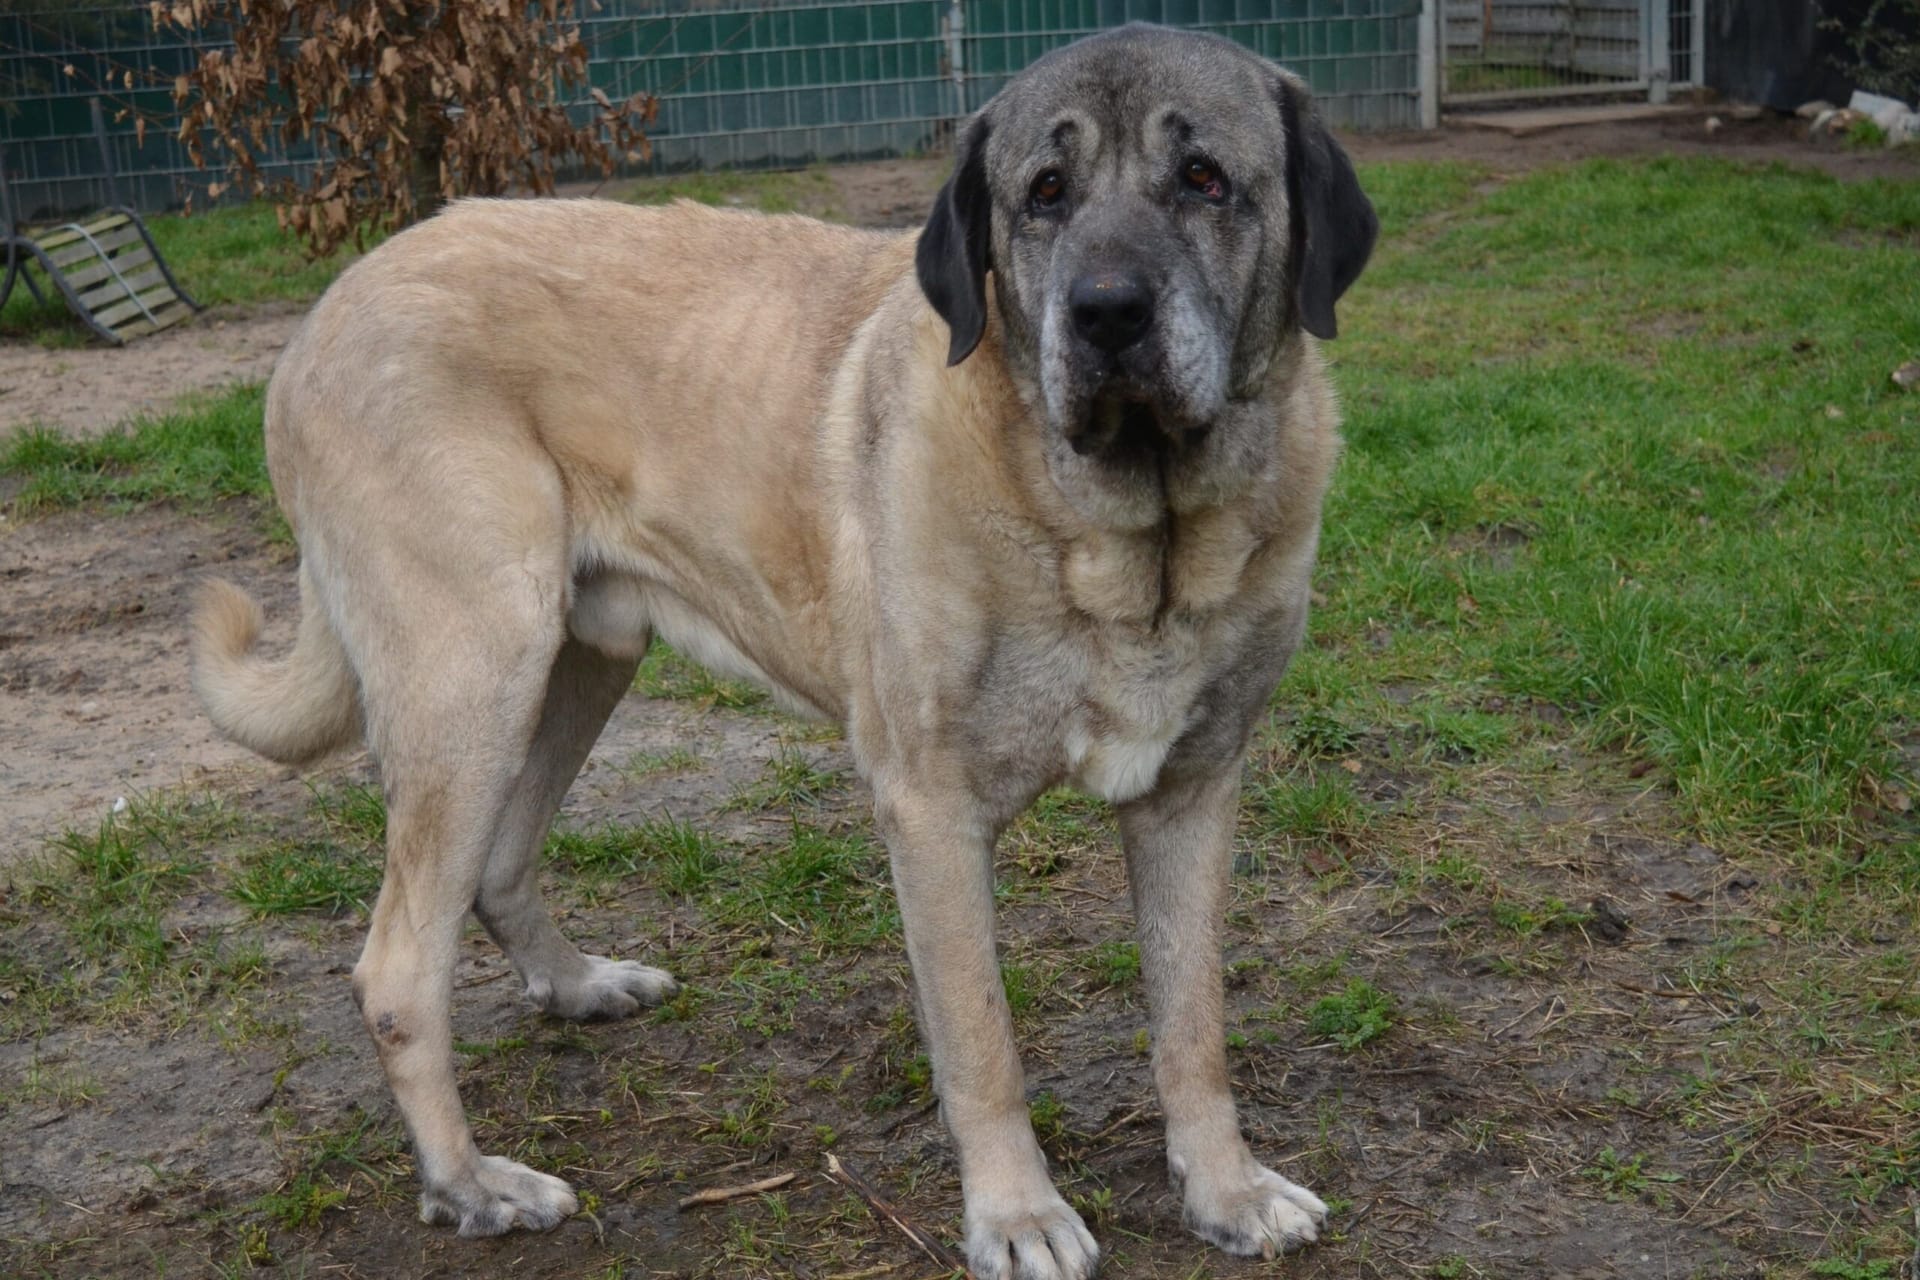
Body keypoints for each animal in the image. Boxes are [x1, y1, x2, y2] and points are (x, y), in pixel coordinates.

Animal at [191, 22, 1367, 1280]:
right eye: (1043, 193)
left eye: (1204, 178)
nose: (1106, 313)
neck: (1127, 537)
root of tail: (326, 309)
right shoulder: (931, 807)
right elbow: (983, 1041)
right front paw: (1016, 1212)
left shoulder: (1195, 788)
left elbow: (1194, 1024)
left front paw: (1227, 1186)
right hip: (474, 674)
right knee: (398, 966)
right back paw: (469, 1183)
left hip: (572, 662)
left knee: (497, 865)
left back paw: (577, 987)